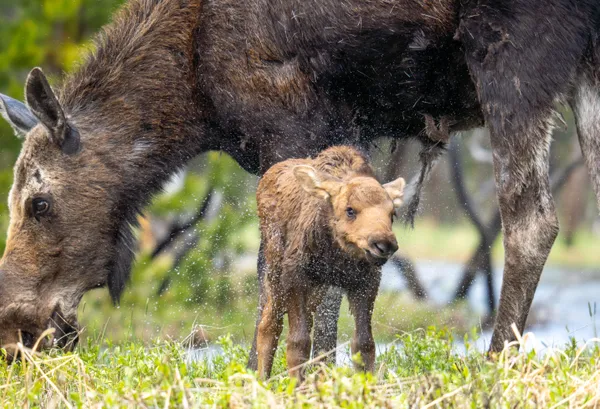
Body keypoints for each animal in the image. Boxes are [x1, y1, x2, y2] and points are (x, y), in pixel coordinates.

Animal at [255, 145, 406, 378]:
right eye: (350, 210)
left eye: (392, 214)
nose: (384, 244)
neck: (336, 254)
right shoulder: (295, 278)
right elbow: (297, 342)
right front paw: (297, 384)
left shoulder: (366, 283)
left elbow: (364, 344)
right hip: (275, 273)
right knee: (269, 323)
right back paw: (262, 379)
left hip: (315, 290)